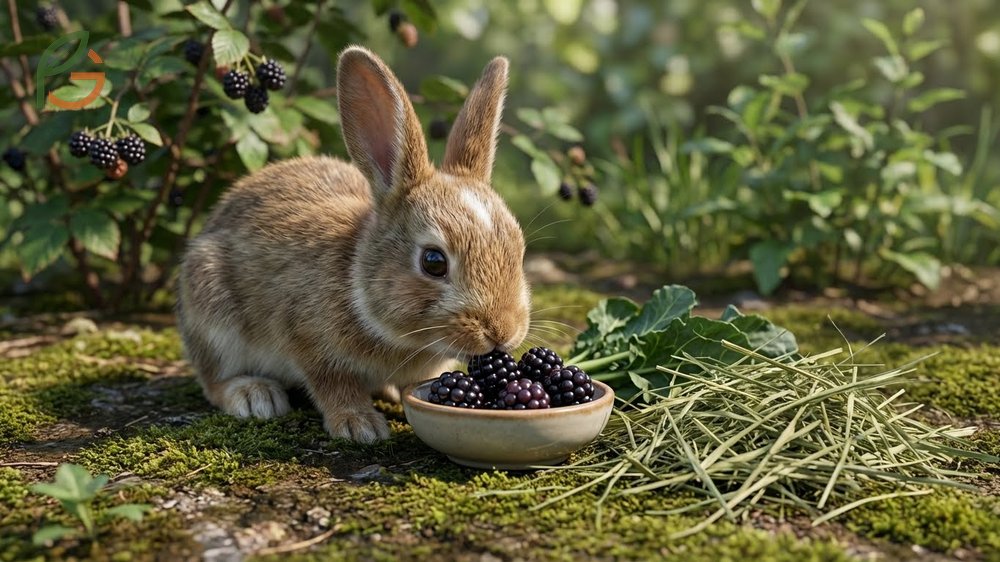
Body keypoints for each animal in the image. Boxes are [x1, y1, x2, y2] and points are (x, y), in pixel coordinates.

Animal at [176, 46, 530, 443]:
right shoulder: (309, 342)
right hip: (211, 308)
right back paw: (253, 395)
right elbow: (332, 384)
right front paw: (359, 424)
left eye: (519, 250)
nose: (502, 332)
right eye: (433, 262)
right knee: (213, 379)